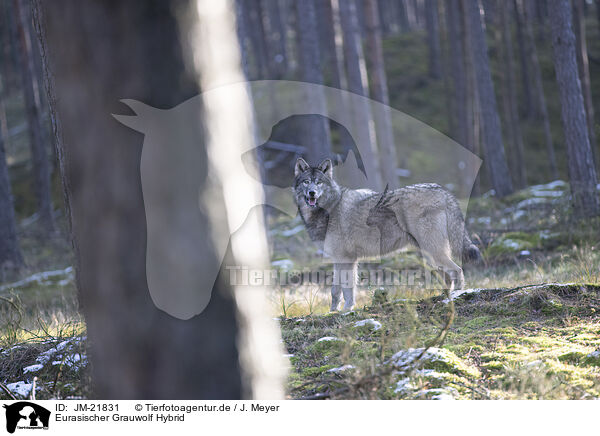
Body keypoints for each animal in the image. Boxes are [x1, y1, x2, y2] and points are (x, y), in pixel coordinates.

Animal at [292, 158, 480, 312]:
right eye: (306, 182)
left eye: (318, 183)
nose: (312, 193)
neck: (330, 209)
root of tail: (442, 190)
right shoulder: (338, 260)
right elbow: (335, 290)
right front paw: (333, 311)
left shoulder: (347, 259)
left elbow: (348, 288)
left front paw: (347, 309)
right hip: (430, 255)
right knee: (448, 276)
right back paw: (443, 297)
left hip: (434, 252)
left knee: (457, 269)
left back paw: (457, 295)